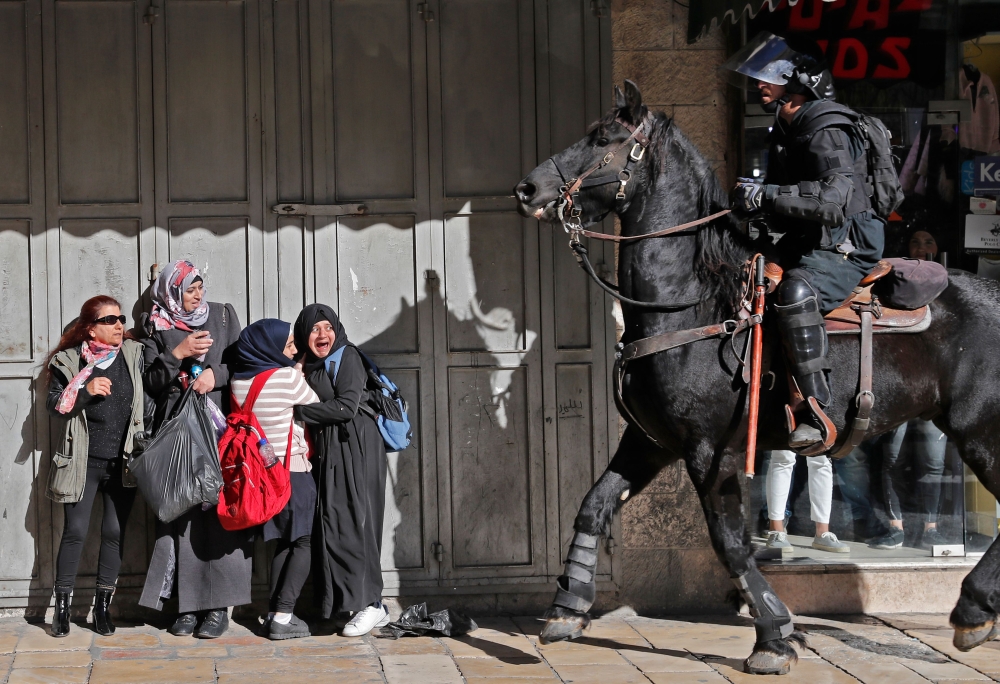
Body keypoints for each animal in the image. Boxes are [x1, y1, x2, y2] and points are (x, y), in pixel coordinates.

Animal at [516, 81, 1000, 672]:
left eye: (604, 138)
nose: (528, 188)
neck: (688, 303)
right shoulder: (651, 440)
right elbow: (593, 506)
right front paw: (567, 605)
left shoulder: (710, 453)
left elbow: (730, 543)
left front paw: (774, 635)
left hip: (982, 434)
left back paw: (974, 609)